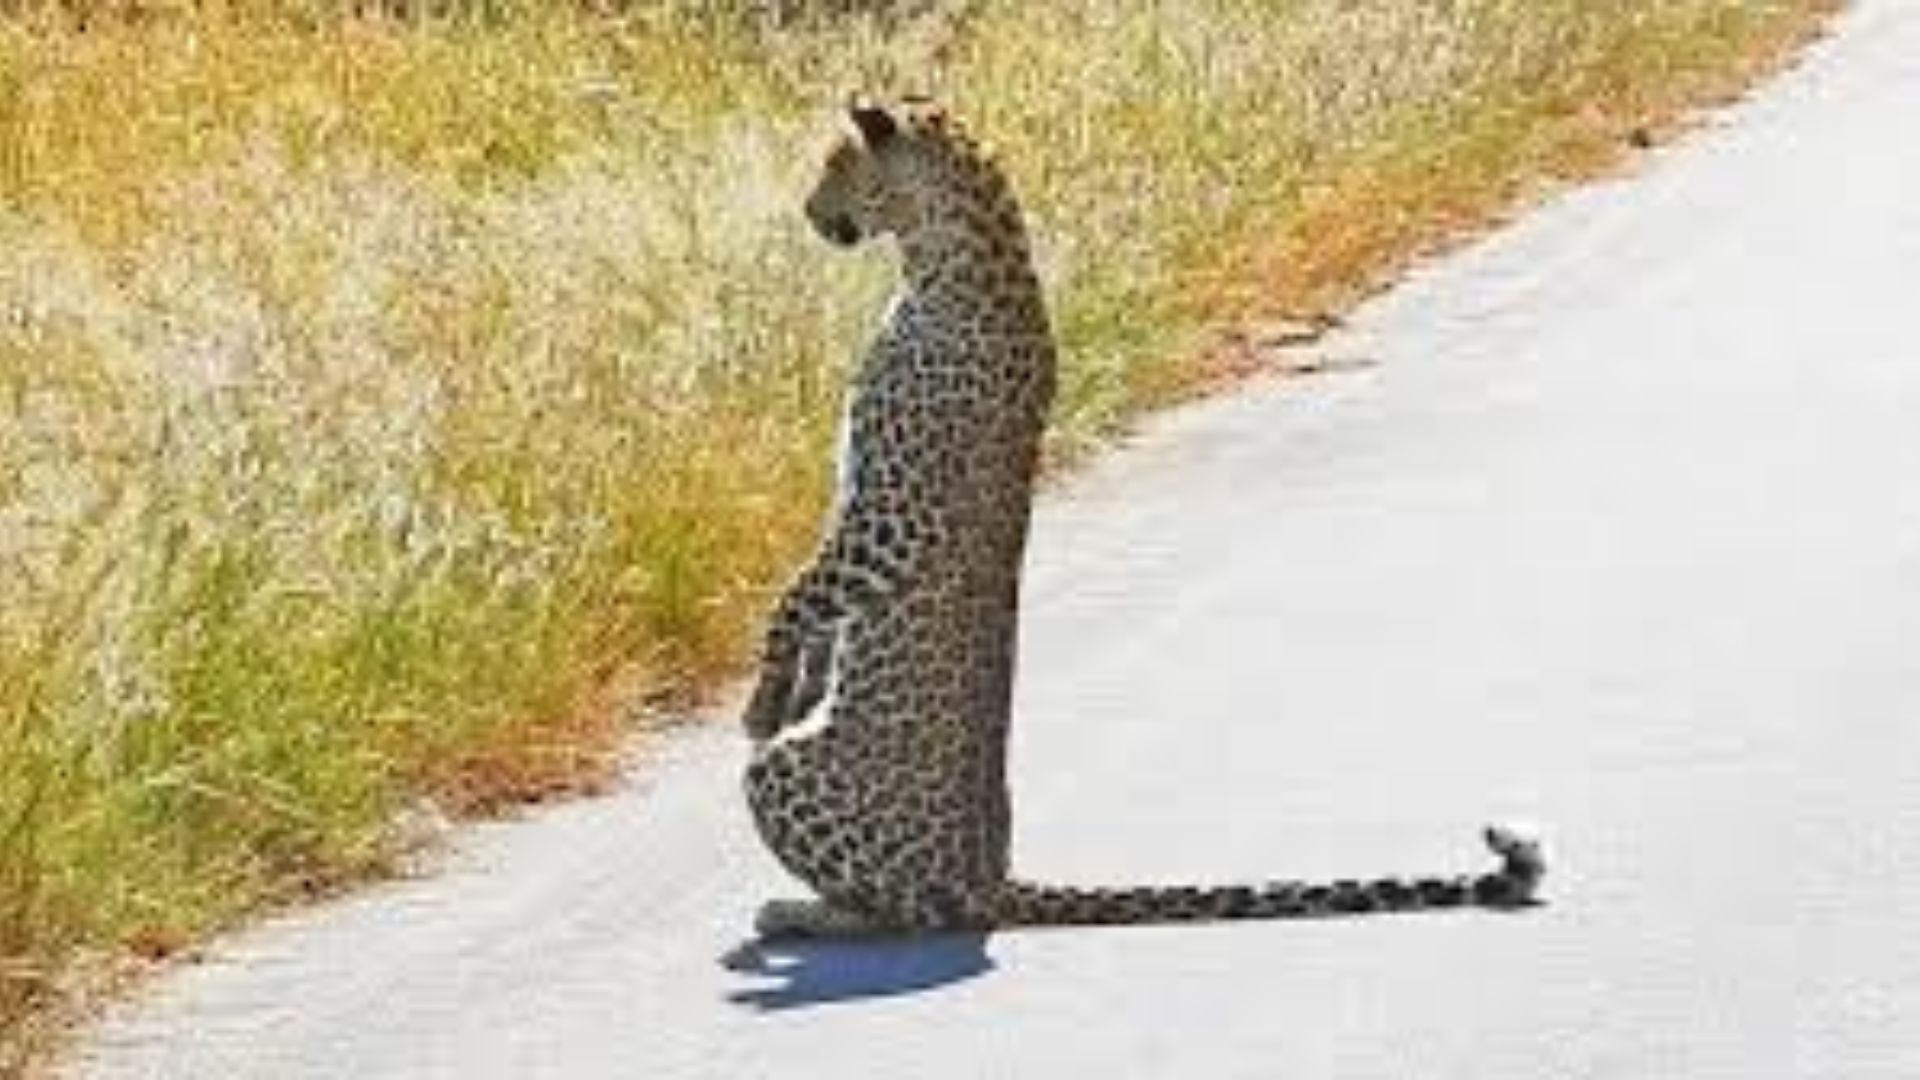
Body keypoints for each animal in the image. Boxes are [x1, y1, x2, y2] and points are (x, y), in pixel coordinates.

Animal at [741, 96, 1546, 938]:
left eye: (836, 165)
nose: (809, 212)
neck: (938, 262)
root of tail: (994, 879)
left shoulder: (898, 516)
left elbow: (797, 593)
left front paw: (763, 703)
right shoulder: (859, 497)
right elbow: (818, 594)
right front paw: (800, 687)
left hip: (794, 780)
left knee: (911, 913)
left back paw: (798, 912)